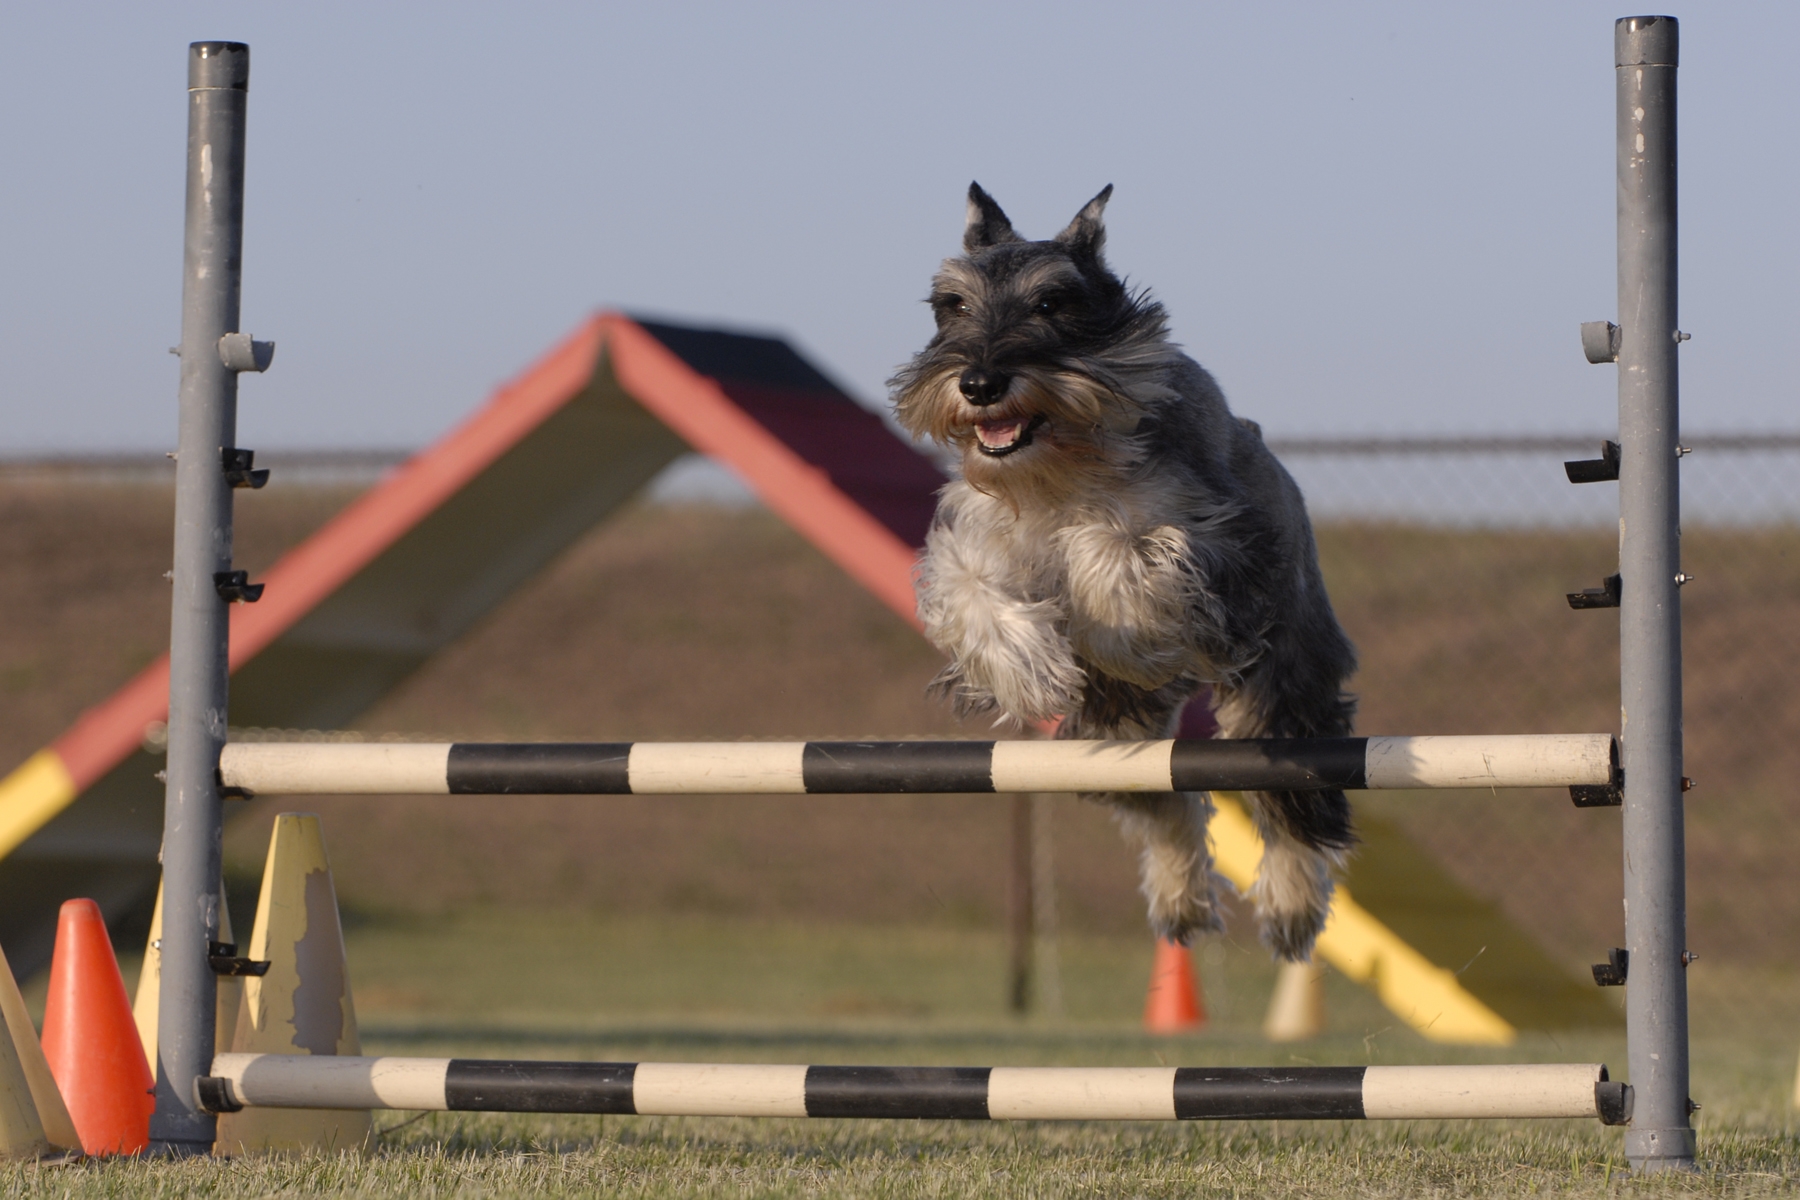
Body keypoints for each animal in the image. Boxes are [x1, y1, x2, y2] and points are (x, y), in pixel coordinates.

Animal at [892, 183, 1353, 964]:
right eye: (949, 304)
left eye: (1052, 302)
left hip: (1281, 686)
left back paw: (1291, 907)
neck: (1055, 466)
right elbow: (975, 593)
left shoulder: (1210, 544)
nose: (979, 383)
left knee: (1293, 805)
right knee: (1167, 808)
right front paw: (1034, 670)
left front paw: (1120, 635)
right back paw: (1178, 897)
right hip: (1115, 738)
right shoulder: (972, 543)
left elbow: (1109, 550)